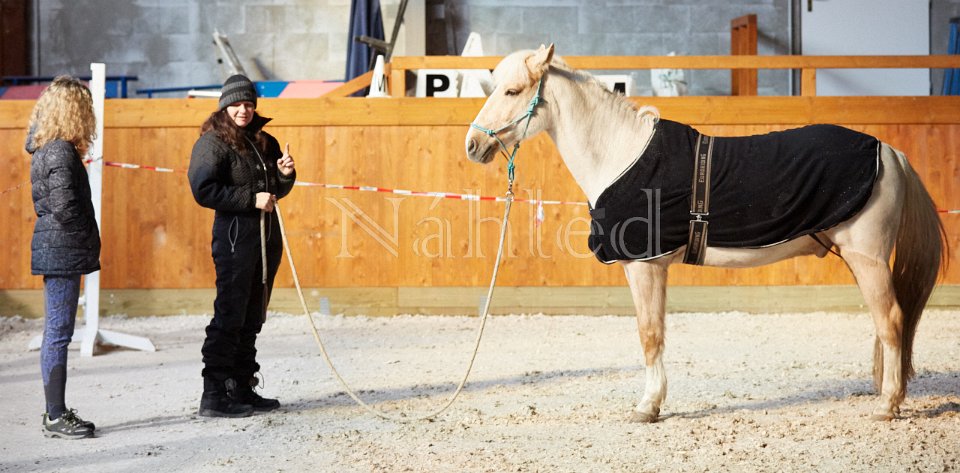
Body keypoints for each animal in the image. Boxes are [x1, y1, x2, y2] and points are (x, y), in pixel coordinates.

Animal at [464, 45, 947, 422]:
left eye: (513, 91)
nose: (473, 145)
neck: (623, 155)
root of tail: (889, 151)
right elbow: (656, 332)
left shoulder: (645, 266)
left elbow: (649, 334)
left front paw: (647, 406)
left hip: (868, 258)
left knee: (892, 320)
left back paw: (887, 405)